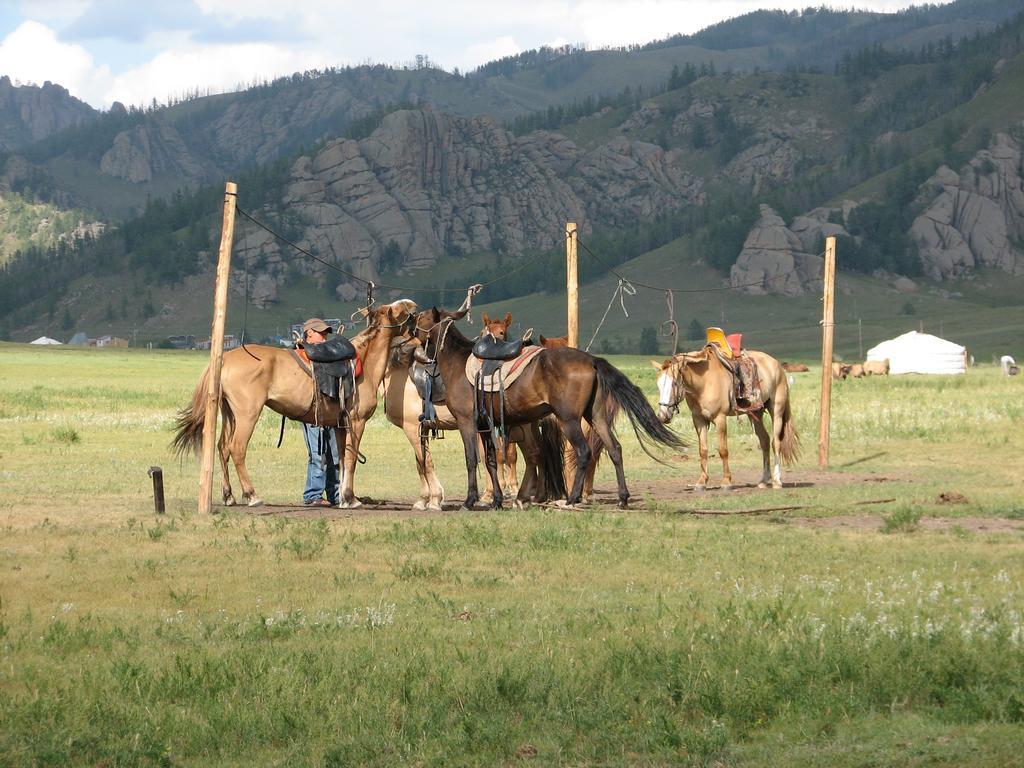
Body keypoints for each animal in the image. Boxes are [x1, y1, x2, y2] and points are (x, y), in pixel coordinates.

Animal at [174, 301, 413, 512]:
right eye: (402, 311)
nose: (415, 310)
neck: (364, 361)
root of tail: (225, 358)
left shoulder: (340, 426)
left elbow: (343, 460)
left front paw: (345, 499)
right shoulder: (356, 422)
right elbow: (352, 459)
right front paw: (350, 499)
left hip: (229, 414)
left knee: (223, 448)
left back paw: (228, 496)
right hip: (247, 415)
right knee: (237, 449)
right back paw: (252, 495)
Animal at [411, 307, 684, 512]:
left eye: (421, 316)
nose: (410, 331)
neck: (458, 364)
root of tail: (592, 360)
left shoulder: (467, 422)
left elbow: (472, 459)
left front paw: (470, 501)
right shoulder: (485, 425)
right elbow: (491, 462)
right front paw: (496, 500)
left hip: (569, 420)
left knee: (583, 452)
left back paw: (572, 498)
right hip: (595, 417)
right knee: (614, 449)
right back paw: (622, 498)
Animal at [655, 348, 798, 489]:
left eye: (674, 383)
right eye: (658, 385)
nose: (662, 415)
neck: (704, 383)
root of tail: (775, 363)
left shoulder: (720, 419)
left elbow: (723, 450)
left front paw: (726, 481)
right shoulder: (699, 420)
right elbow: (703, 450)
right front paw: (701, 482)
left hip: (777, 411)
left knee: (776, 443)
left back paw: (777, 481)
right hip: (756, 413)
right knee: (765, 441)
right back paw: (763, 480)